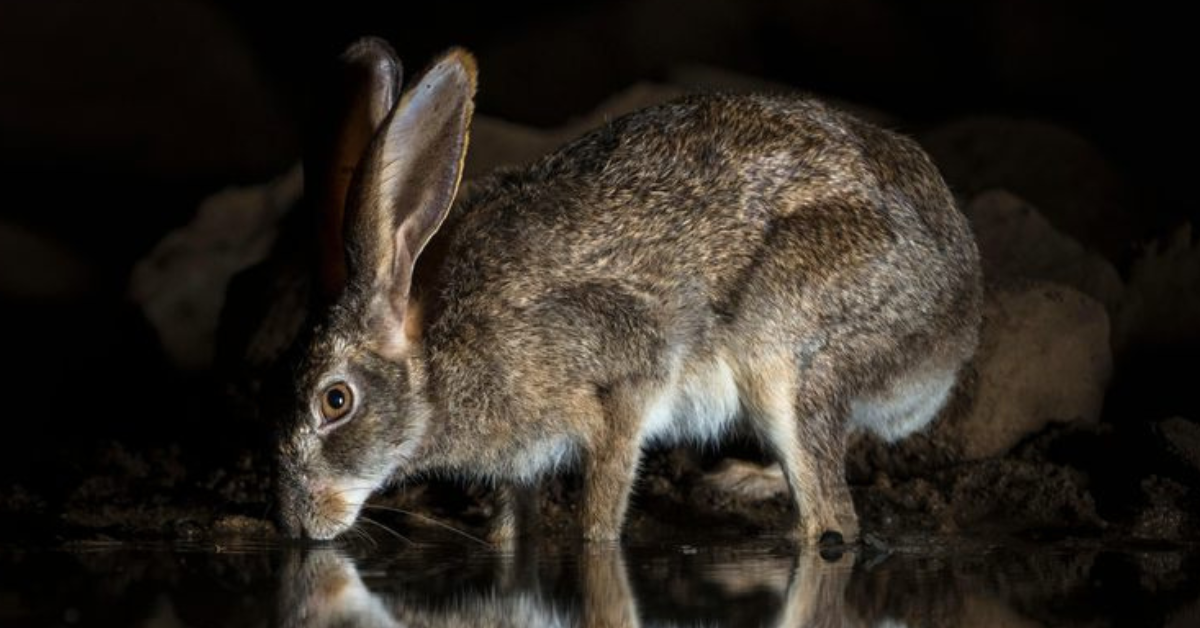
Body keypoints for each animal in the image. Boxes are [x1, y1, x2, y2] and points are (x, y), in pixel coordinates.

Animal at [275, 37, 983, 546]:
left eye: (336, 401)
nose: (296, 524)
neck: (436, 361)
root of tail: (956, 324)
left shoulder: (625, 378)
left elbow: (602, 506)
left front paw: (594, 543)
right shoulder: (518, 459)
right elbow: (511, 521)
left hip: (785, 348)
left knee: (832, 519)